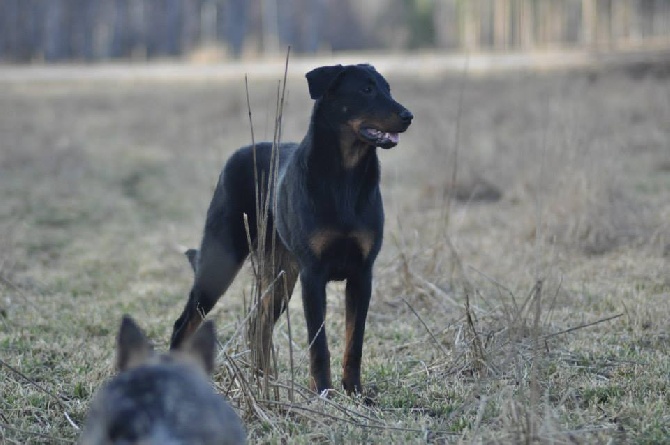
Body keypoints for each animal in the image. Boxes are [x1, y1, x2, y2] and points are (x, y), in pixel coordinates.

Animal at [171, 63, 412, 392]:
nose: (408, 115)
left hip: (281, 273)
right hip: (221, 261)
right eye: (366, 89)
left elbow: (355, 341)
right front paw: (323, 391)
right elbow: (318, 343)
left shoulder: (362, 274)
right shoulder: (313, 274)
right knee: (185, 323)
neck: (344, 177)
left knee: (258, 323)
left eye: (388, 88)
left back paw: (265, 380)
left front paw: (354, 391)